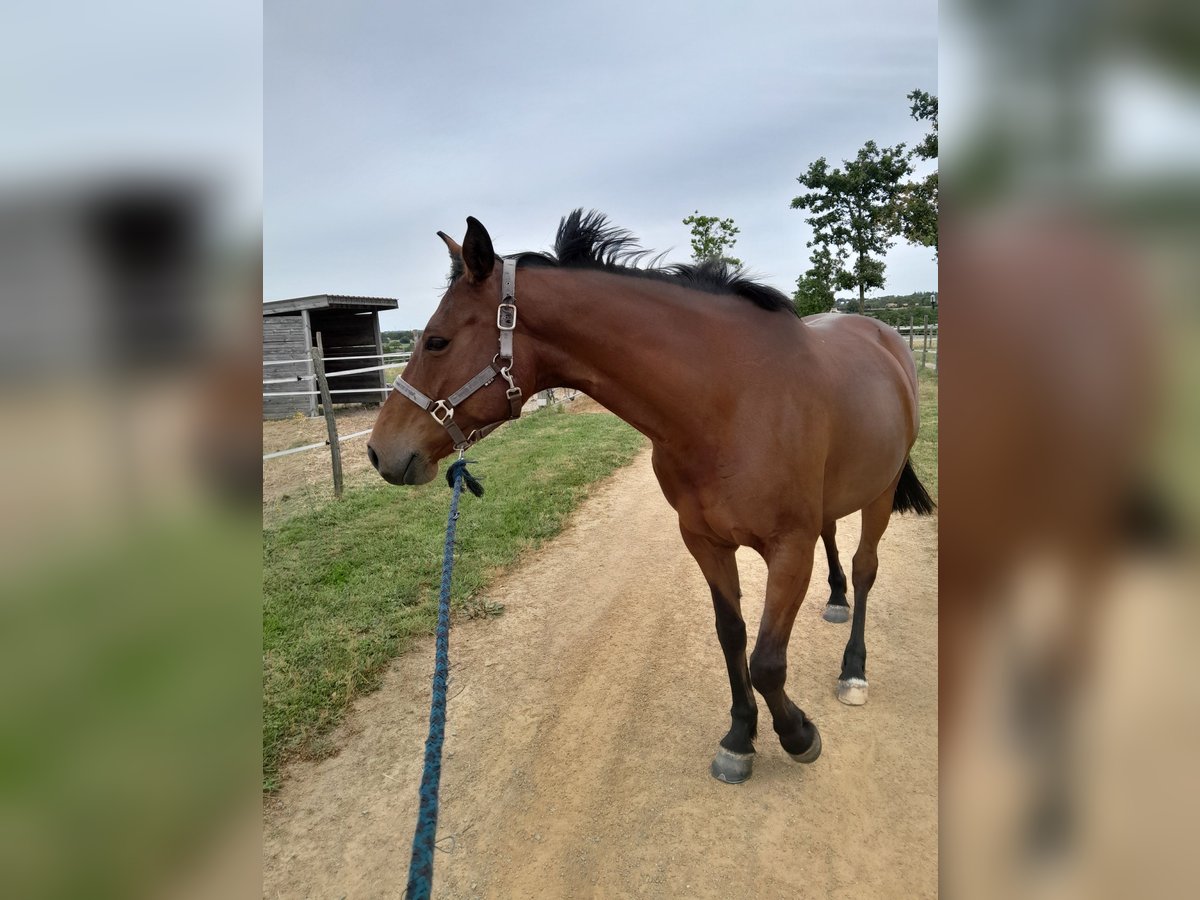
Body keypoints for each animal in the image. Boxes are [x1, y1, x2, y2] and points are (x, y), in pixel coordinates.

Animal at [369, 210, 931, 782]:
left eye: (436, 341)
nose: (377, 450)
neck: (733, 398)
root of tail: (886, 338)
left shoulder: (789, 548)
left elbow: (767, 660)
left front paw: (797, 735)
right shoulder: (704, 541)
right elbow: (732, 637)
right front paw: (740, 737)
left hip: (881, 492)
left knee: (865, 569)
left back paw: (853, 670)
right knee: (834, 538)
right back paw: (836, 600)